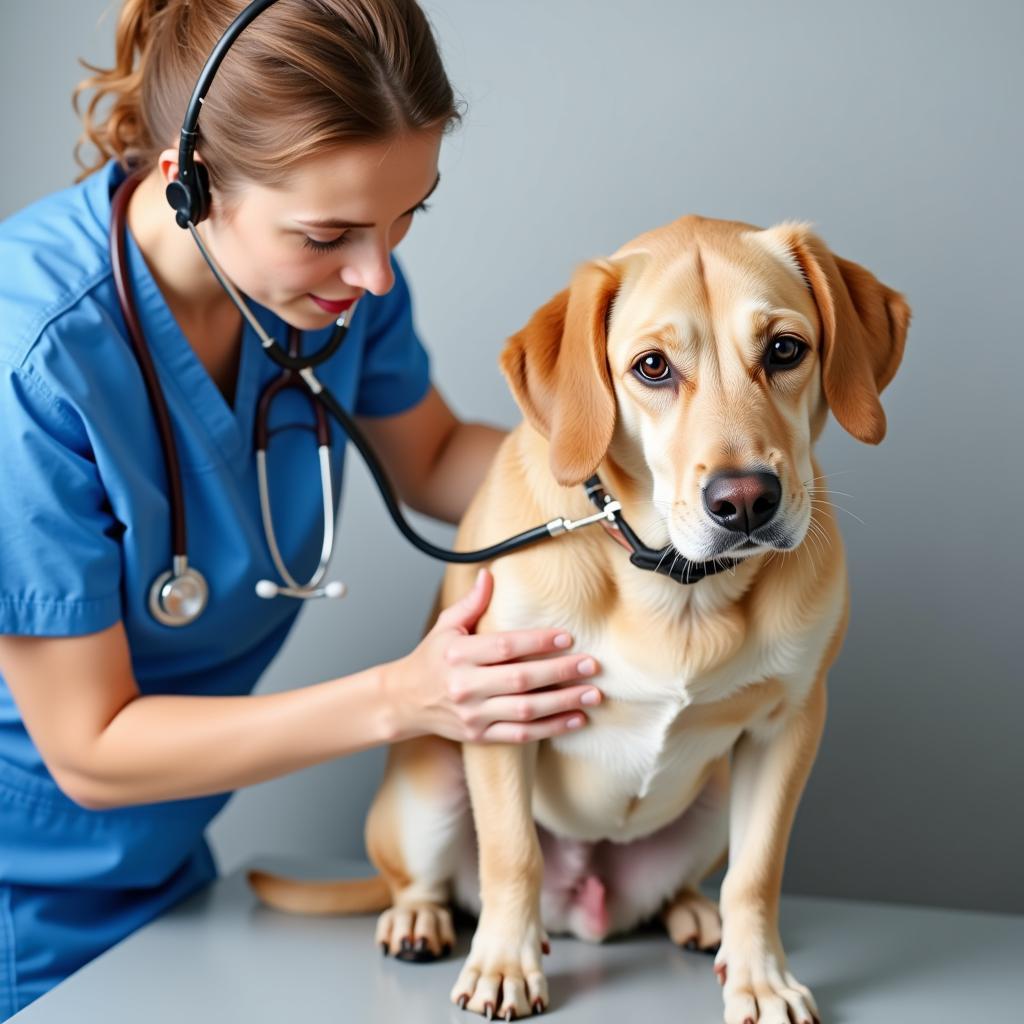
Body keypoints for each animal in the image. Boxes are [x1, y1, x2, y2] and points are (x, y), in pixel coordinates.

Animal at [247, 211, 913, 1019]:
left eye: (785, 349)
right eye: (652, 367)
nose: (746, 500)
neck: (676, 586)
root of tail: (586, 906)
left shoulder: (787, 728)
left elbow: (757, 875)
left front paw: (759, 976)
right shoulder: (499, 712)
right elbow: (512, 857)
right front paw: (503, 964)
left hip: (713, 800)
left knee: (687, 888)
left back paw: (695, 915)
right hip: (428, 787)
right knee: (428, 881)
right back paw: (420, 918)